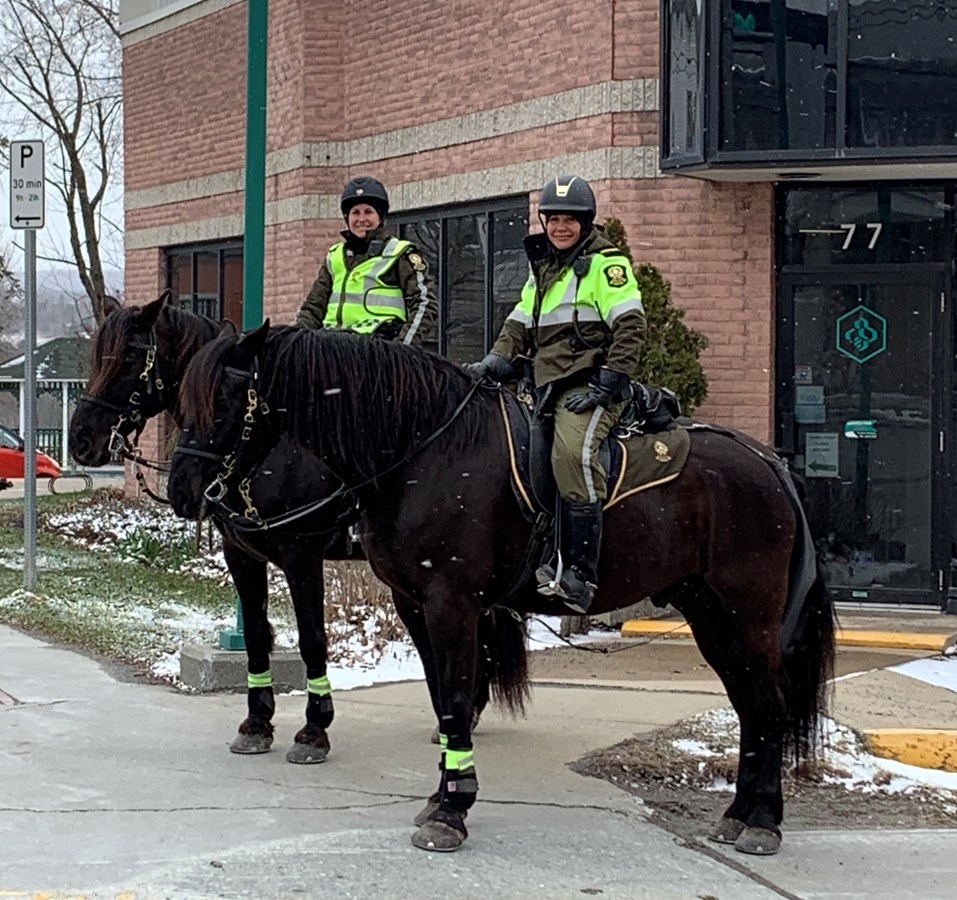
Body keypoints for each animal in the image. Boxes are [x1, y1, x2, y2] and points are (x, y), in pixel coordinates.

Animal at [69, 298, 508, 768]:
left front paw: (314, 730)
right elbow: (257, 635)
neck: (264, 449)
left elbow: (312, 639)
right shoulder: (240, 553)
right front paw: (257, 723)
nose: (80, 440)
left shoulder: (302, 555)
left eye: (129, 357)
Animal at [168, 326, 832, 856]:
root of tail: (768, 461)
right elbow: (442, 695)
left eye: (224, 399)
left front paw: (449, 809)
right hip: (709, 613)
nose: (181, 489)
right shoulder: (411, 601)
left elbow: (452, 694)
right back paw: (738, 814)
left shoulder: (440, 600)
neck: (425, 449)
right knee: (751, 707)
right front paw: (442, 791)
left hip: (749, 614)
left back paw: (764, 822)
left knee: (769, 704)